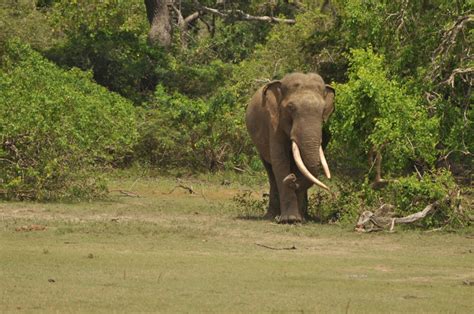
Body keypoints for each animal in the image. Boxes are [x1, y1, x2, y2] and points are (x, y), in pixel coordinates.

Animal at [246, 72, 336, 223]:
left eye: (323, 110)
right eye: (291, 108)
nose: (292, 178)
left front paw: (298, 219)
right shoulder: (274, 124)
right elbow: (280, 161)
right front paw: (290, 219)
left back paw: (303, 217)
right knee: (270, 171)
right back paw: (271, 216)